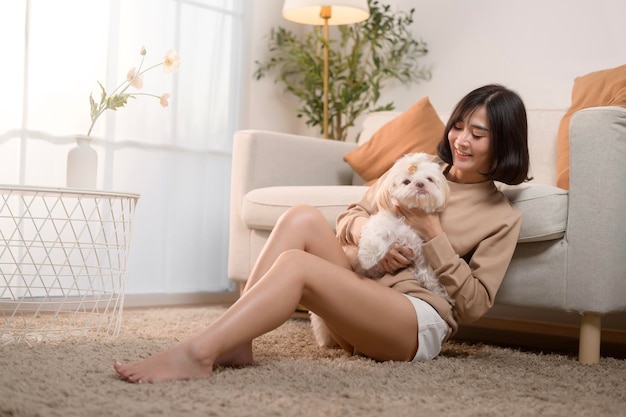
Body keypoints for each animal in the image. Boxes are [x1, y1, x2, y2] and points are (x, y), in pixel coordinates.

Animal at [312, 153, 454, 348]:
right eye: (406, 182)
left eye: (429, 179)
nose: (420, 184)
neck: (408, 224)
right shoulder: (382, 222)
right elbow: (374, 236)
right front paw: (367, 258)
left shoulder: (419, 252)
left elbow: (428, 274)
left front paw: (440, 293)